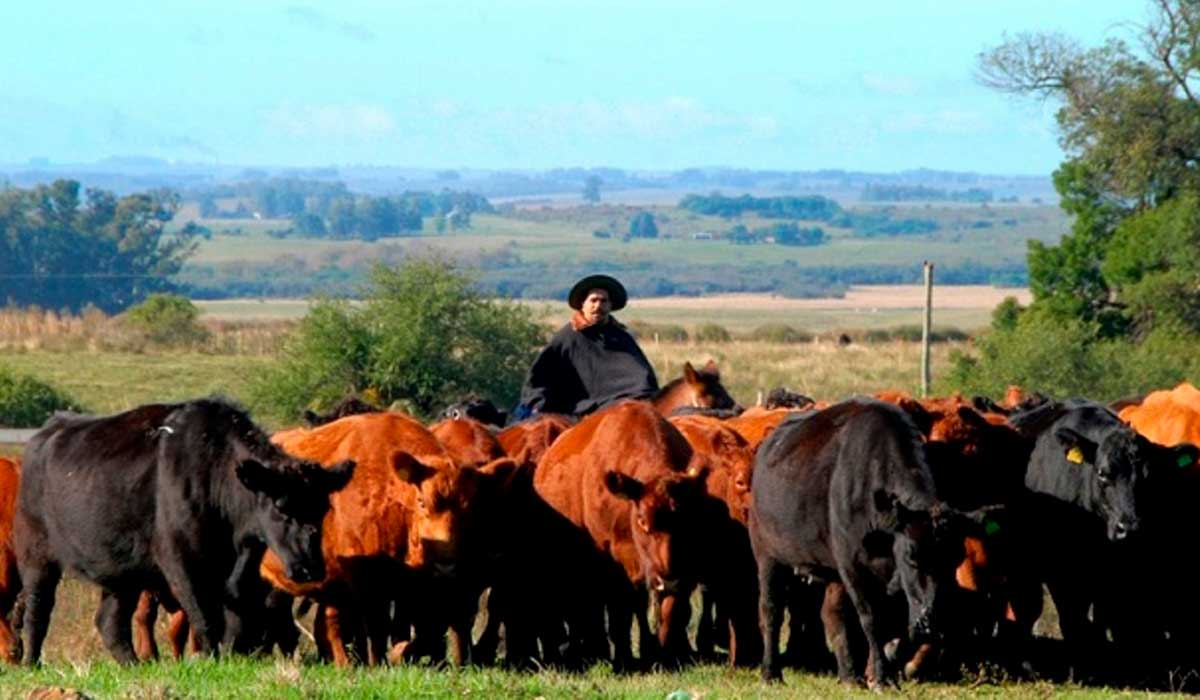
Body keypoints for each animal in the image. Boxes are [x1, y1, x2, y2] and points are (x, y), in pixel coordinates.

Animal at [15, 396, 350, 667]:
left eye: (323, 508)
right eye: (280, 506)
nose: (308, 567)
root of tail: (47, 432)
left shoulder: (241, 569)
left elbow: (238, 616)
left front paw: (233, 656)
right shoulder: (182, 561)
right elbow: (205, 615)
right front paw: (209, 659)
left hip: (121, 572)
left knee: (110, 621)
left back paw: (134, 664)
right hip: (36, 555)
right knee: (37, 610)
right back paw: (32, 662)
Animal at [748, 396, 964, 686]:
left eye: (954, 559)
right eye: (911, 555)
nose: (932, 622)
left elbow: (893, 627)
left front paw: (878, 669)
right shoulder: (853, 566)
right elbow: (872, 620)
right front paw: (882, 677)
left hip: (830, 571)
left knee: (832, 614)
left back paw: (849, 675)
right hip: (768, 556)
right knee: (771, 610)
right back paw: (771, 672)